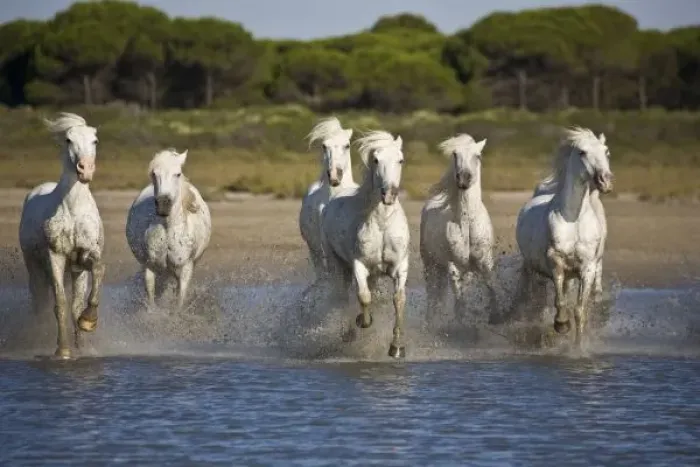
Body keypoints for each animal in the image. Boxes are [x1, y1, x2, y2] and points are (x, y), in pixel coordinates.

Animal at [18, 112, 105, 359]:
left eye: (95, 141)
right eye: (68, 140)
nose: (85, 170)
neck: (73, 210)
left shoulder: (85, 255)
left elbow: (98, 271)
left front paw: (88, 322)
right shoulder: (55, 256)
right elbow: (60, 303)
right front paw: (63, 350)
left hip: (75, 272)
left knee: (73, 302)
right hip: (36, 268)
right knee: (40, 302)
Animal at [125, 148, 212, 309]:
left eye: (177, 174)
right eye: (154, 173)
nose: (163, 204)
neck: (167, 229)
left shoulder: (184, 270)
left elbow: (179, 303)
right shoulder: (150, 268)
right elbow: (151, 299)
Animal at [320, 130, 410, 358]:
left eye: (401, 160)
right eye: (376, 160)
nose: (389, 195)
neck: (383, 223)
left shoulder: (400, 267)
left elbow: (398, 300)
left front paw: (396, 347)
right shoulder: (359, 265)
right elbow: (363, 296)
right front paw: (363, 321)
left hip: (376, 274)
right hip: (337, 265)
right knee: (343, 296)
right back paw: (348, 332)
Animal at [419, 134, 499, 328]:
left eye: (478, 156)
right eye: (455, 155)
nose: (463, 179)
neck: (468, 224)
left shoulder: (484, 261)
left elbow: (490, 284)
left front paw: (495, 317)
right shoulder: (453, 266)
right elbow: (458, 298)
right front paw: (460, 324)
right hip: (431, 263)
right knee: (432, 294)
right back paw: (430, 322)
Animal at [513, 127, 612, 348]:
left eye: (606, 151)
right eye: (582, 152)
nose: (605, 181)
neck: (574, 220)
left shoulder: (587, 268)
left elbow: (579, 310)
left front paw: (578, 346)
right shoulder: (556, 262)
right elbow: (560, 301)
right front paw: (561, 325)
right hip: (531, 269)